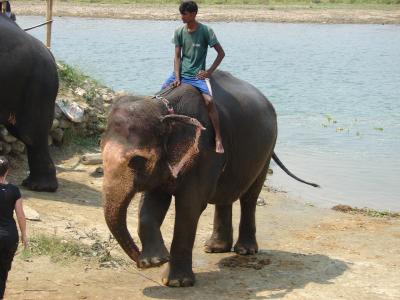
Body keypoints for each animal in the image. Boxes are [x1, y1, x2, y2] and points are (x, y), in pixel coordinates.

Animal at [101, 69, 318, 288]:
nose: (139, 262)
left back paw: (245, 250)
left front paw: (177, 282)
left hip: (266, 151)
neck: (165, 108)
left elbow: (190, 206)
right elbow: (152, 203)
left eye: (137, 160)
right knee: (225, 195)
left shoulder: (204, 151)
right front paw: (155, 261)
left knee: (250, 197)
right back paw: (215, 248)